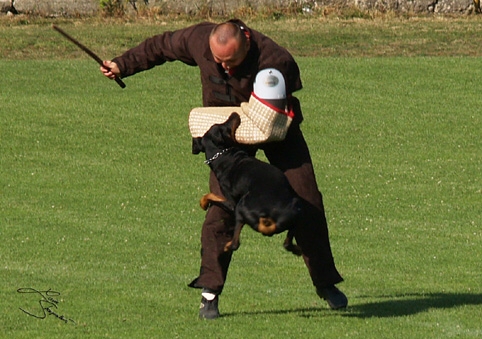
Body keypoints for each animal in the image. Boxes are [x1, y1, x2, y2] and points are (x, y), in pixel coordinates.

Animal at [192, 113, 302, 256]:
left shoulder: (232, 204)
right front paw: (203, 203)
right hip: (296, 210)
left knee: (235, 244)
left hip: (241, 207)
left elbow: (212, 196)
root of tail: (269, 219)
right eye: (224, 126)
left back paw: (226, 247)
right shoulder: (231, 203)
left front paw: (203, 203)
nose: (234, 113)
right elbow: (212, 196)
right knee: (285, 243)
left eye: (220, 124)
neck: (222, 156)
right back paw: (297, 249)